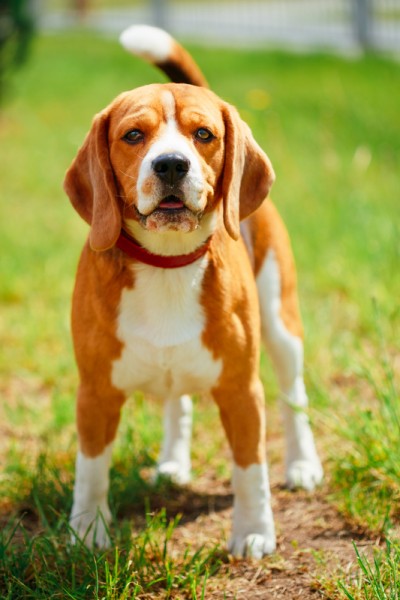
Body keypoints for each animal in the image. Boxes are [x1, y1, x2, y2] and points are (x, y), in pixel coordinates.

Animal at [65, 23, 322, 556]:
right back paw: (173, 463)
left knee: (293, 396)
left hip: (281, 323)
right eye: (133, 135)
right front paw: (87, 530)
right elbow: (91, 469)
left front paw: (253, 532)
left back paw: (303, 464)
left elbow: (250, 469)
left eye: (203, 134)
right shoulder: (95, 392)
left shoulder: (242, 391)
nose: (170, 165)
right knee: (177, 401)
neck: (167, 262)